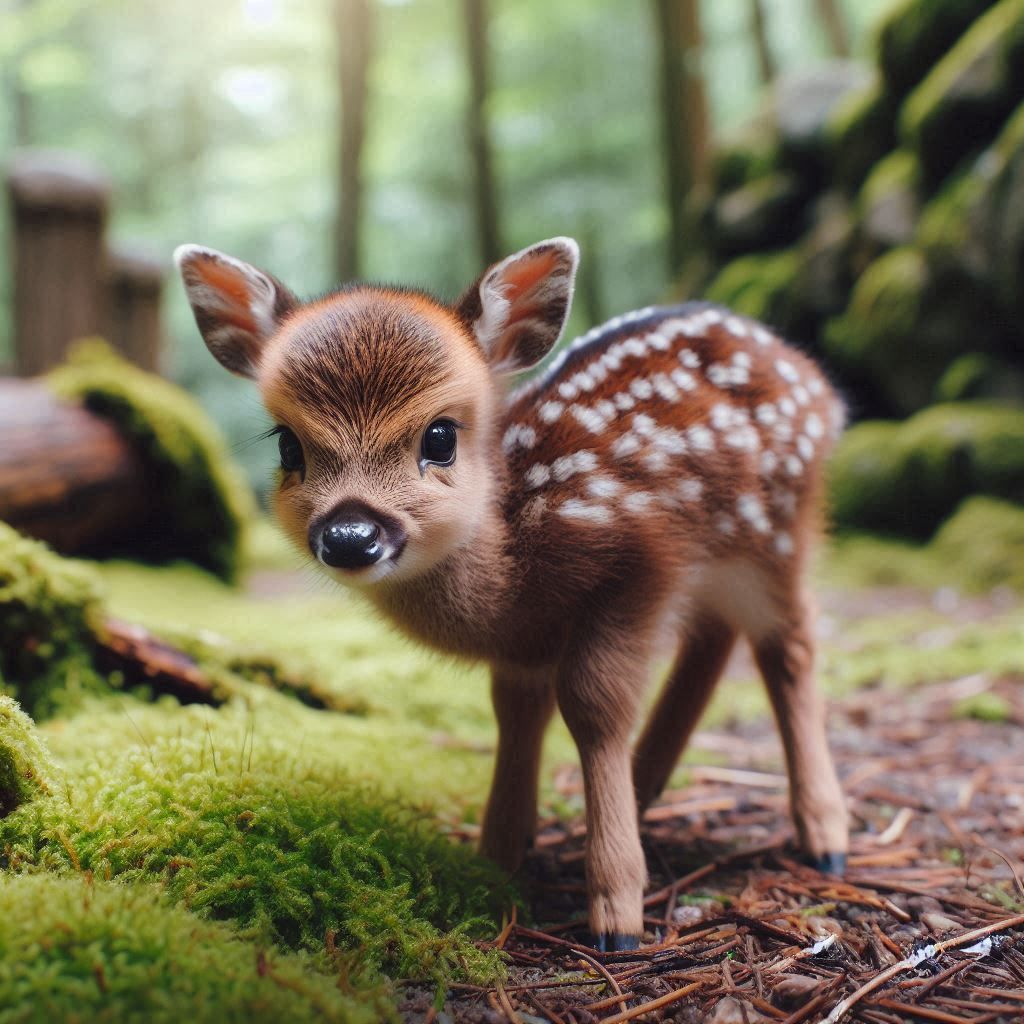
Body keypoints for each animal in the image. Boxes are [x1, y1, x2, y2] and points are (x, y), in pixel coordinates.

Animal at [175, 236, 849, 951]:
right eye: (288, 445)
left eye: (440, 436)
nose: (351, 535)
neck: (518, 560)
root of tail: (819, 385)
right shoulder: (529, 643)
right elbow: (516, 709)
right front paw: (497, 856)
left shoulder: (643, 564)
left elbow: (593, 705)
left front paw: (616, 913)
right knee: (715, 637)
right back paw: (644, 786)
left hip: (779, 526)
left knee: (789, 643)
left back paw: (825, 837)